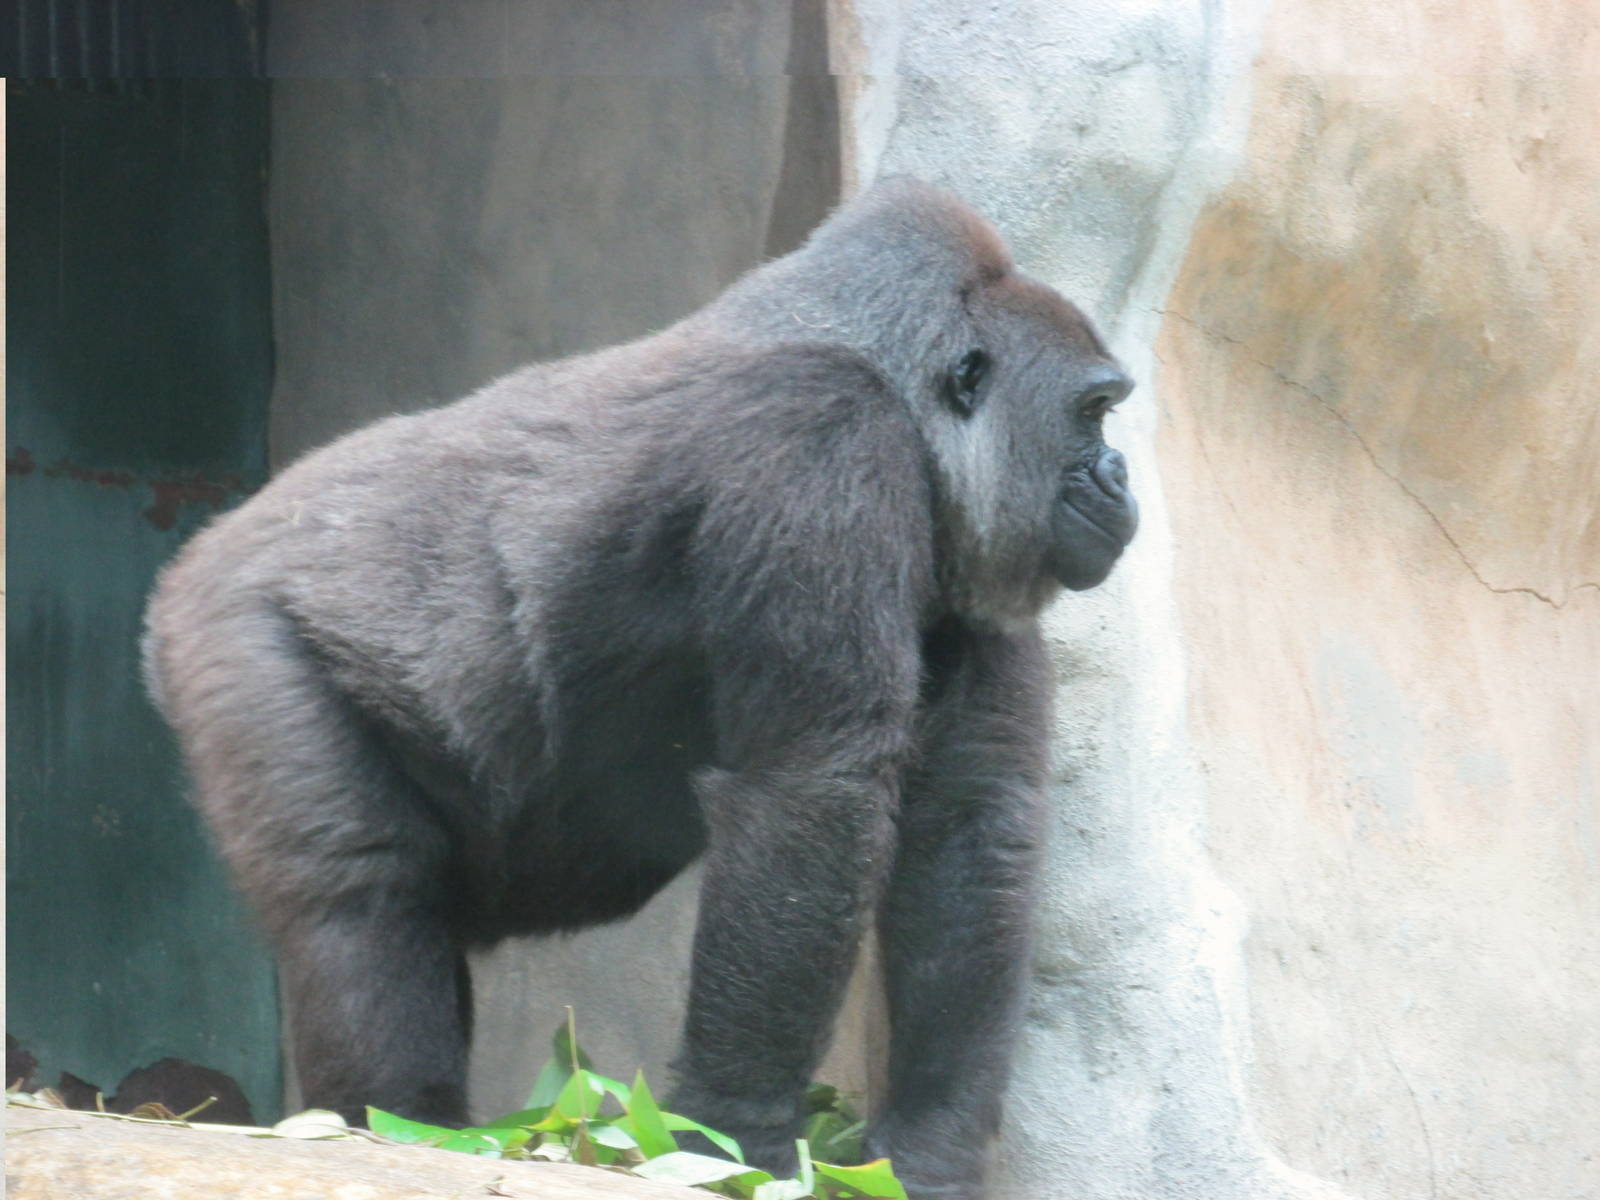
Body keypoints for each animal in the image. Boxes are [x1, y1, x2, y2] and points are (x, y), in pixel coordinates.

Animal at [143, 177, 1137, 1199]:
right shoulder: (817, 439)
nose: (1119, 474)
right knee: (361, 890)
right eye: (1093, 412)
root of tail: (194, 563)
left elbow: (966, 826)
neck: (885, 375)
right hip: (232, 633)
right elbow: (809, 794)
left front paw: (929, 1149)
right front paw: (736, 1140)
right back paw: (400, 1124)